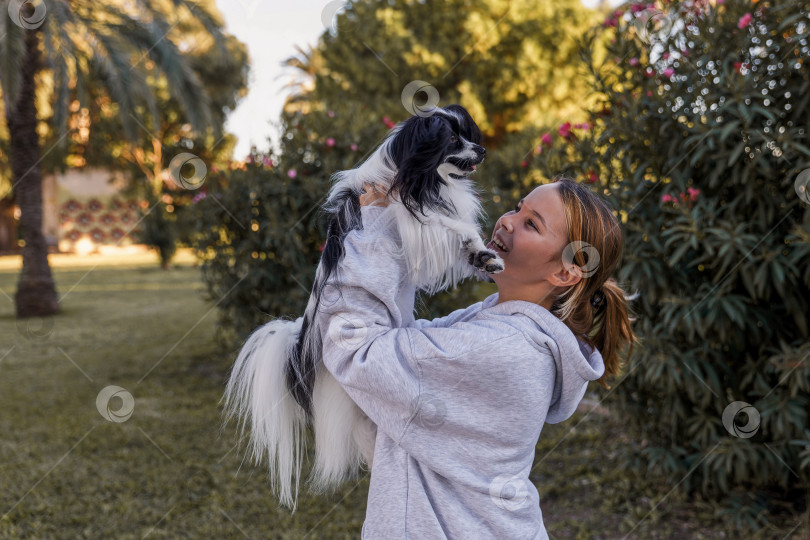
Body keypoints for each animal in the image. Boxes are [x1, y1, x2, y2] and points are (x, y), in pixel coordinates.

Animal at [221, 103, 498, 508]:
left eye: (468, 135)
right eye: (451, 140)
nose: (481, 151)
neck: (417, 175)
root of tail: (306, 348)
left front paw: (485, 259)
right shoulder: (412, 218)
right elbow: (453, 226)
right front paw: (476, 243)